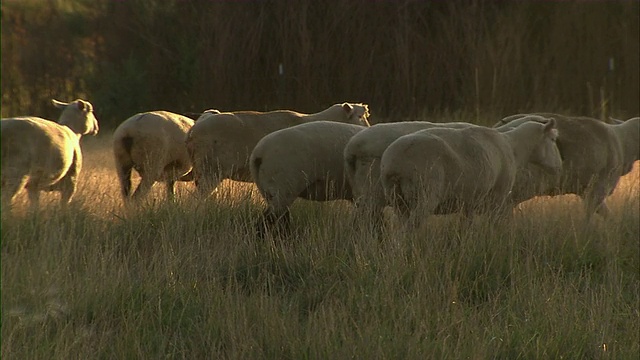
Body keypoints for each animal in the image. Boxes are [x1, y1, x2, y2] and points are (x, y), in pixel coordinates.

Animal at [380, 121, 560, 228]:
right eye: (552, 140)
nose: (559, 166)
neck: (514, 147)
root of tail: (396, 161)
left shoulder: (470, 201)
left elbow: (467, 225)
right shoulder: (499, 196)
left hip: (397, 198)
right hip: (426, 193)